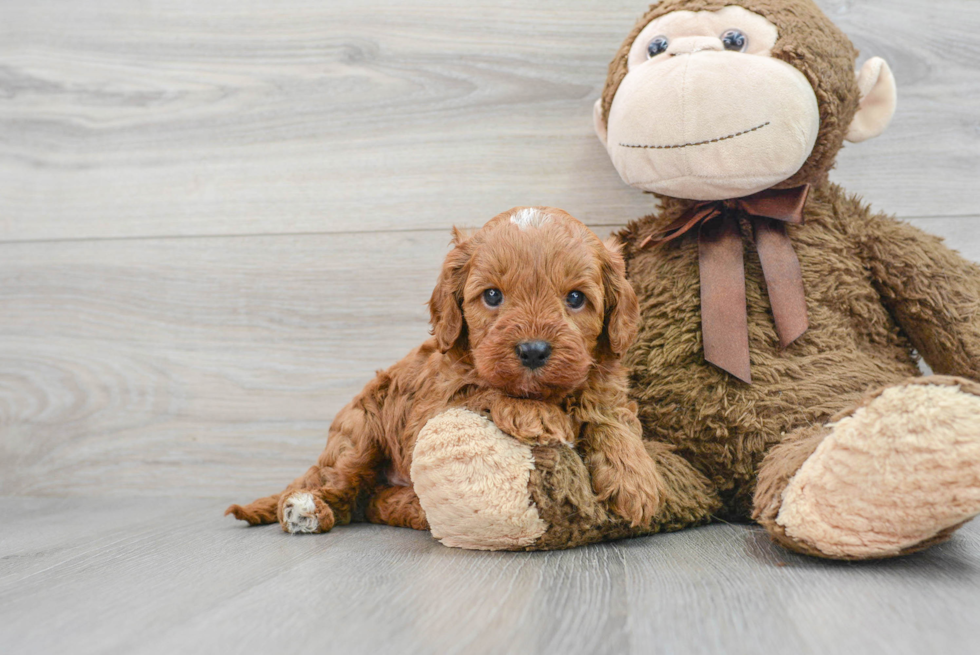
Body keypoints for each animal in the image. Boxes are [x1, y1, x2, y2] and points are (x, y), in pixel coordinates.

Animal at [226, 208, 664, 536]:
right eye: (492, 295)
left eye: (575, 298)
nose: (533, 350)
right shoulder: (432, 404)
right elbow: (483, 389)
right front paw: (535, 414)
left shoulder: (605, 384)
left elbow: (611, 417)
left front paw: (635, 478)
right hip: (358, 436)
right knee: (334, 488)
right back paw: (305, 510)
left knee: (372, 502)